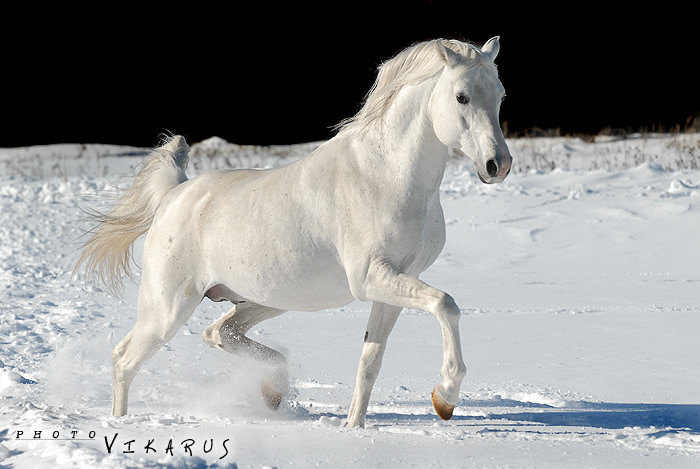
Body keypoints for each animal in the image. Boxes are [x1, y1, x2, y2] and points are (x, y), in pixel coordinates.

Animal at [79, 36, 512, 426]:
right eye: (461, 97)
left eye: (501, 95)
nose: (498, 165)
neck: (386, 175)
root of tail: (175, 193)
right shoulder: (370, 278)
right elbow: (446, 304)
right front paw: (445, 397)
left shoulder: (397, 282)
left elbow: (370, 361)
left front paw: (354, 427)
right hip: (167, 308)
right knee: (125, 358)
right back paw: (120, 423)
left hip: (265, 299)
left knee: (218, 332)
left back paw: (273, 392)